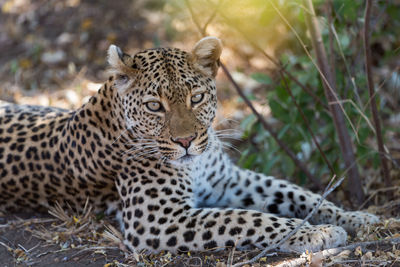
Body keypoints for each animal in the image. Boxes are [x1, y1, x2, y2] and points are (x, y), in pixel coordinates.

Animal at [0, 37, 378, 253]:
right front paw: (318, 233)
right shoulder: (158, 220)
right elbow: (248, 219)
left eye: (196, 98)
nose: (185, 142)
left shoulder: (228, 180)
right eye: (155, 106)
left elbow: (299, 194)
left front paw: (358, 218)